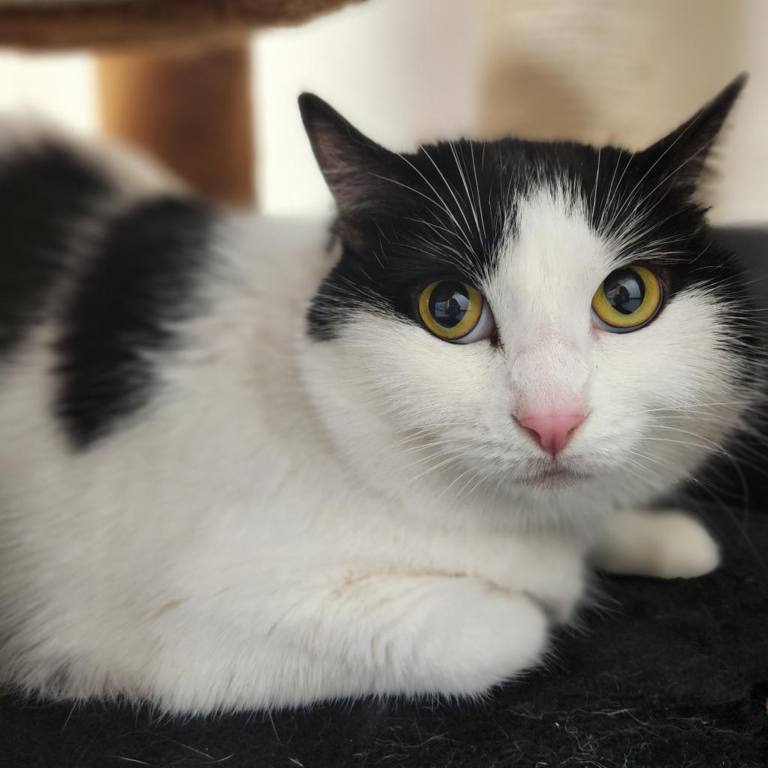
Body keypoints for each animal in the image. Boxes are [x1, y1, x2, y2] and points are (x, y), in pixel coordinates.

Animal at [0, 73, 760, 712]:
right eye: (449, 309)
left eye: (627, 298)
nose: (552, 420)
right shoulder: (184, 636)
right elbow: (513, 626)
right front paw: (556, 589)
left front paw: (655, 534)